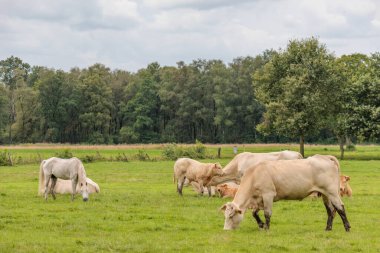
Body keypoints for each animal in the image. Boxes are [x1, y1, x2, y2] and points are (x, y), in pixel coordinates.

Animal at [221, 154, 352, 231]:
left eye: (231, 216)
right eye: (225, 215)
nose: (226, 230)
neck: (254, 174)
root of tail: (324, 157)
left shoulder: (268, 195)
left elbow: (267, 213)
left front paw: (266, 228)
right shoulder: (259, 200)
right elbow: (254, 213)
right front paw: (261, 225)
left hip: (332, 192)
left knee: (340, 208)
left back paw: (347, 227)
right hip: (325, 194)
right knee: (330, 210)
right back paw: (328, 228)